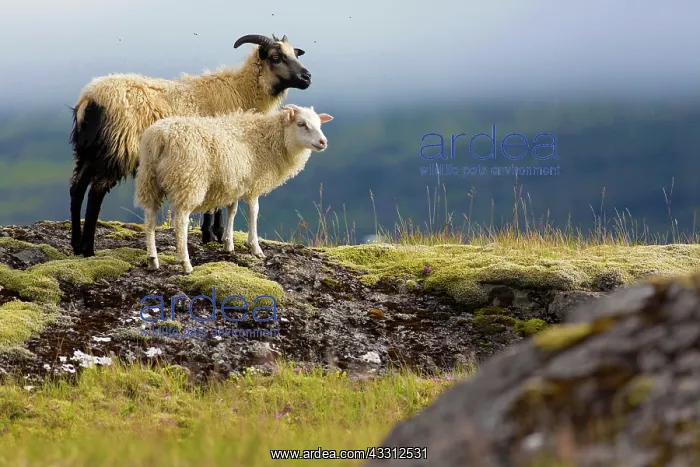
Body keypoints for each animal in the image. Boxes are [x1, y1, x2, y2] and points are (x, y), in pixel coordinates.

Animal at [69, 33, 311, 257]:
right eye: (276, 57)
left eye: (295, 54)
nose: (307, 77)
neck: (242, 91)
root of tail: (89, 100)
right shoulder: (222, 150)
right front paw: (215, 234)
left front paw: (210, 234)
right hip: (118, 149)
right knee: (96, 192)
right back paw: (88, 249)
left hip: (90, 152)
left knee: (77, 187)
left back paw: (76, 245)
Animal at [134, 104, 333, 274]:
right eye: (302, 124)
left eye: (319, 124)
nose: (323, 142)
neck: (269, 139)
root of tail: (161, 137)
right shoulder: (252, 184)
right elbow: (254, 211)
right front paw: (255, 248)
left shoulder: (235, 184)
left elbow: (232, 210)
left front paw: (228, 244)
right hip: (188, 180)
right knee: (181, 221)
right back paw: (185, 263)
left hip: (148, 179)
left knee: (150, 219)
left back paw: (152, 260)